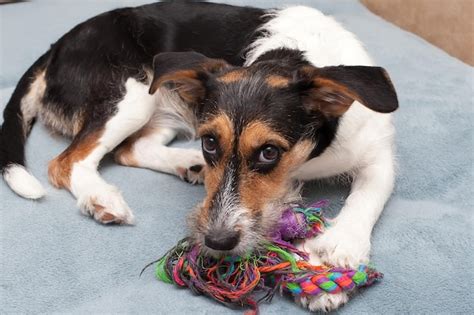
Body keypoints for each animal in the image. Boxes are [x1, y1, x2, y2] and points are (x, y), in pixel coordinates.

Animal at [1, 1, 398, 312]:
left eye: (269, 152)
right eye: (210, 143)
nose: (217, 242)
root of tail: (58, 46)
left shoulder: (379, 153)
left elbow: (368, 196)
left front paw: (339, 248)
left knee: (130, 149)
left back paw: (186, 164)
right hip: (131, 93)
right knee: (66, 162)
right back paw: (101, 198)